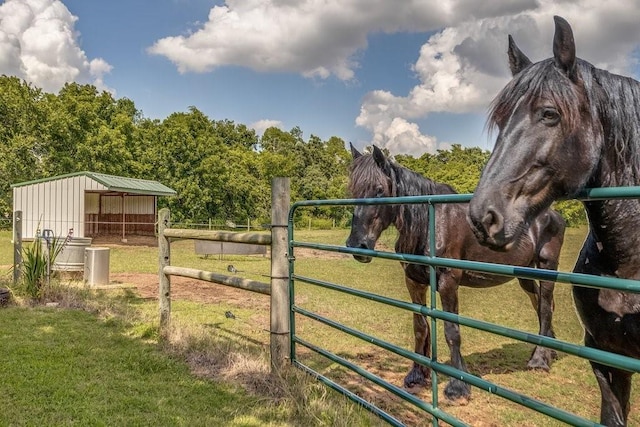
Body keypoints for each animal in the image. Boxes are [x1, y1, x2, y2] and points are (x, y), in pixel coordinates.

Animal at [344, 145, 564, 402]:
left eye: (379, 190)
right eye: (353, 190)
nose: (357, 245)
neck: (430, 222)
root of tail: (552, 215)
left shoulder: (448, 282)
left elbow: (452, 331)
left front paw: (458, 386)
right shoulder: (414, 282)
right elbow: (420, 327)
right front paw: (417, 374)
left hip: (547, 267)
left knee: (545, 307)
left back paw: (539, 360)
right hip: (525, 276)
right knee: (540, 304)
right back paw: (548, 351)